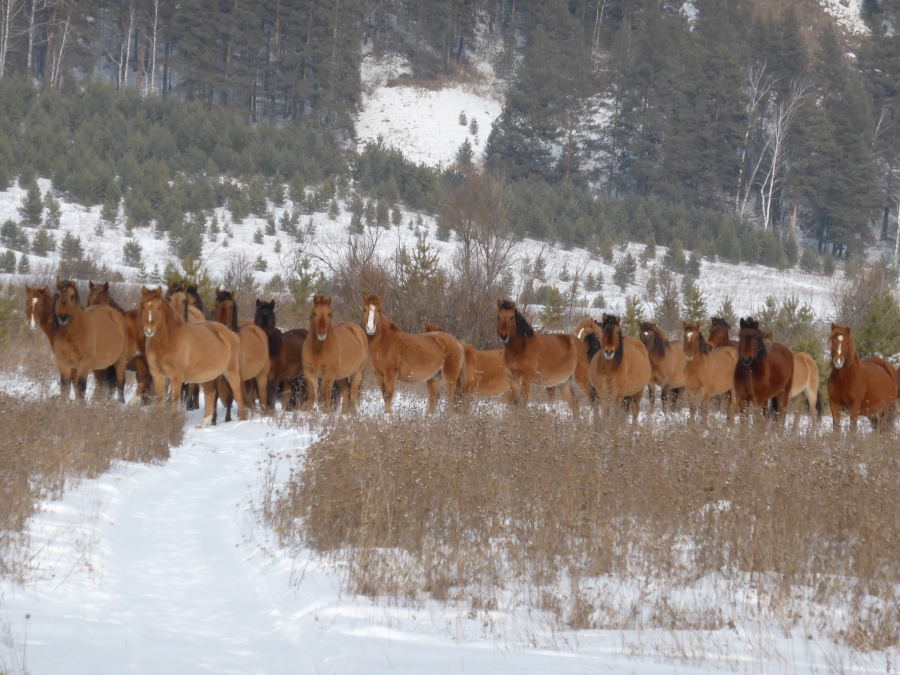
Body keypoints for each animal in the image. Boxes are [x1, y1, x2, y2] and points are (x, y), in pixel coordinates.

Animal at [137, 286, 244, 426]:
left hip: (231, 372)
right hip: (206, 376)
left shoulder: (176, 375)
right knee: (211, 394)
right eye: (143, 306)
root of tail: (231, 334)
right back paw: (203, 424)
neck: (167, 341)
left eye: (159, 307)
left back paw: (242, 421)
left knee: (237, 394)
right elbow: (160, 399)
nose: (149, 330)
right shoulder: (157, 374)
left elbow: (174, 398)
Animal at [213, 290, 268, 422]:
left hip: (261, 375)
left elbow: (230, 397)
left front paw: (228, 419)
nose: (222, 324)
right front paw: (213, 419)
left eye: (230, 306)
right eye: (216, 305)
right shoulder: (219, 376)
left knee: (262, 395)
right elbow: (216, 395)